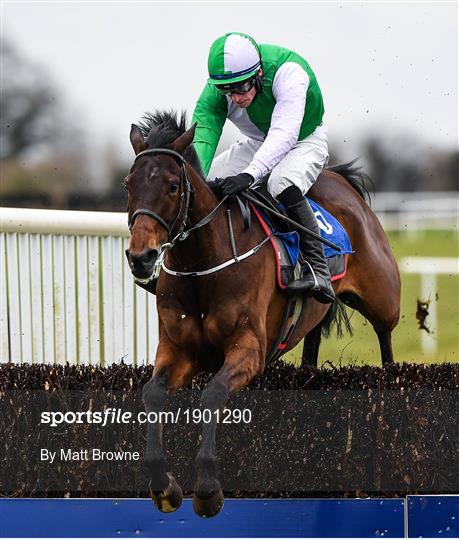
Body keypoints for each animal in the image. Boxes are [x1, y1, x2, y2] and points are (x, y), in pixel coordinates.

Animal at [124, 110, 400, 520]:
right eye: (128, 184)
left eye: (173, 186)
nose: (141, 258)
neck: (202, 264)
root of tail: (338, 178)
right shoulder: (177, 348)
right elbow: (152, 395)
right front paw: (164, 486)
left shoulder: (250, 348)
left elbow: (213, 395)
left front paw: (207, 490)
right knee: (314, 341)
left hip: (383, 297)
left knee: (385, 338)